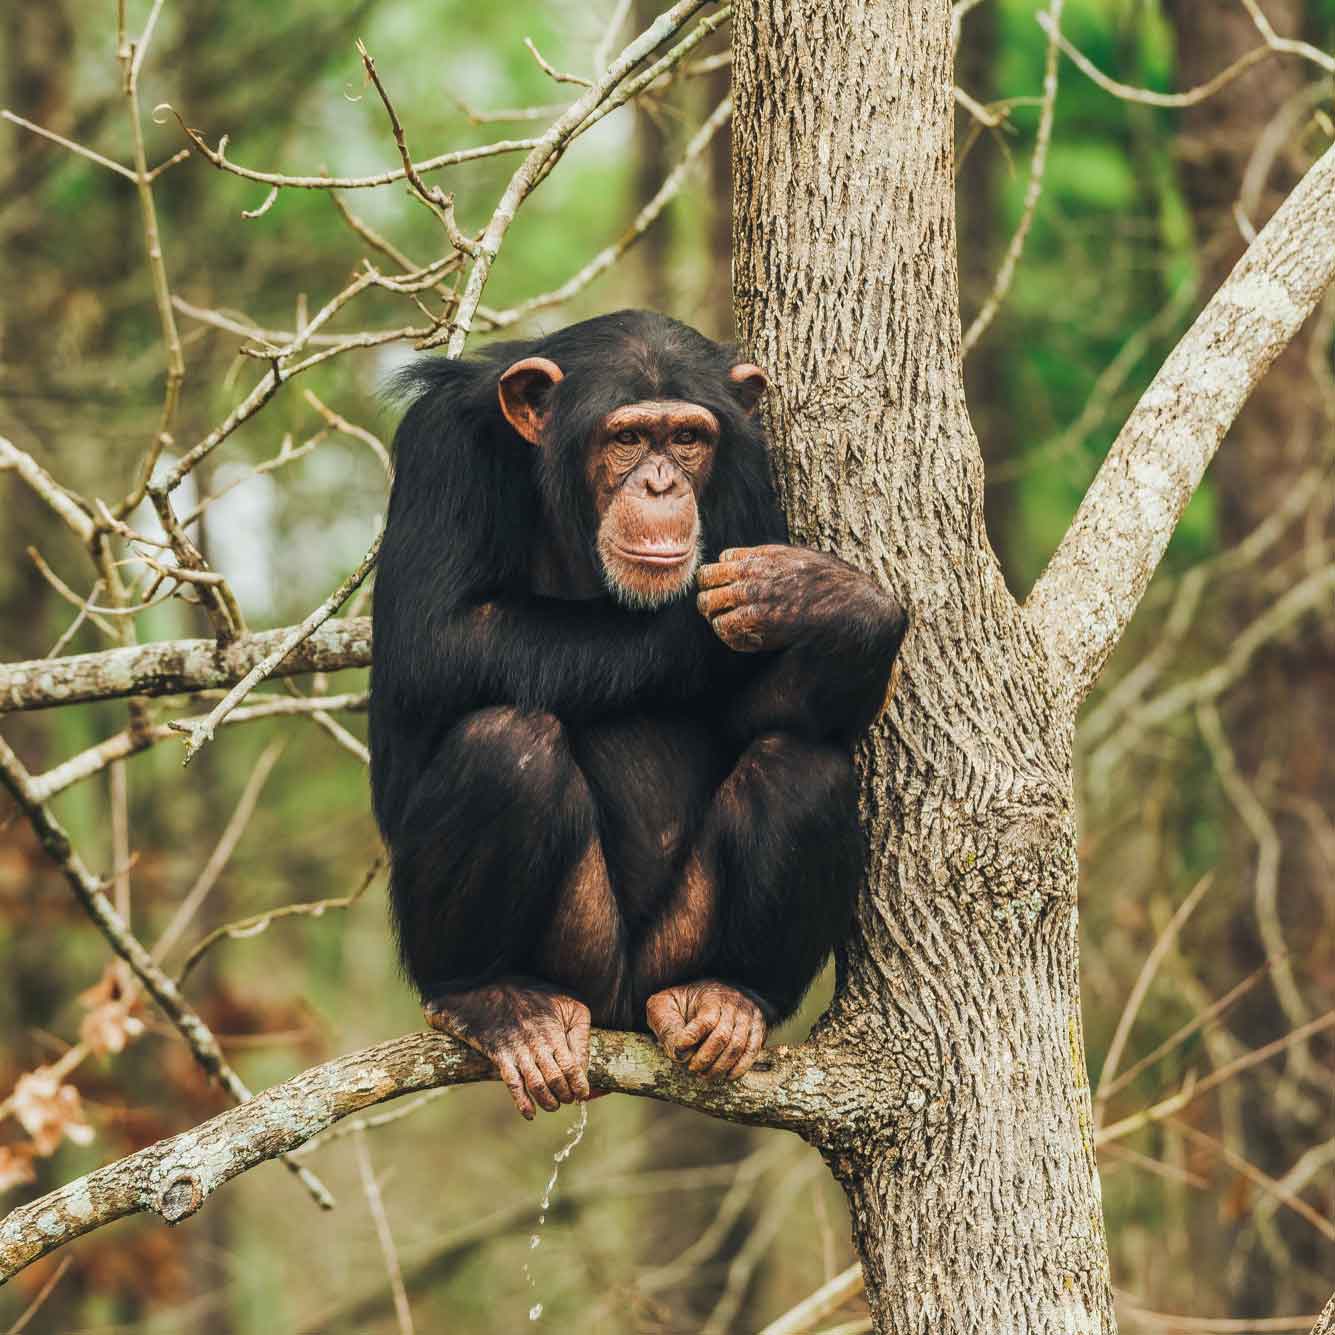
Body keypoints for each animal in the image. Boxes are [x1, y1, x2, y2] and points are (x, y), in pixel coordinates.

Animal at [371, 309, 902, 1116]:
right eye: (625, 438)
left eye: (686, 438)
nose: (659, 483)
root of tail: (621, 1013)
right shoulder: (442, 450)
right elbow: (433, 640)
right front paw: (781, 598)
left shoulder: (751, 476)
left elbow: (760, 715)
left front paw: (834, 603)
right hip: (579, 955)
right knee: (506, 746)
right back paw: (490, 1000)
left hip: (672, 953)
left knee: (799, 764)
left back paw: (729, 995)